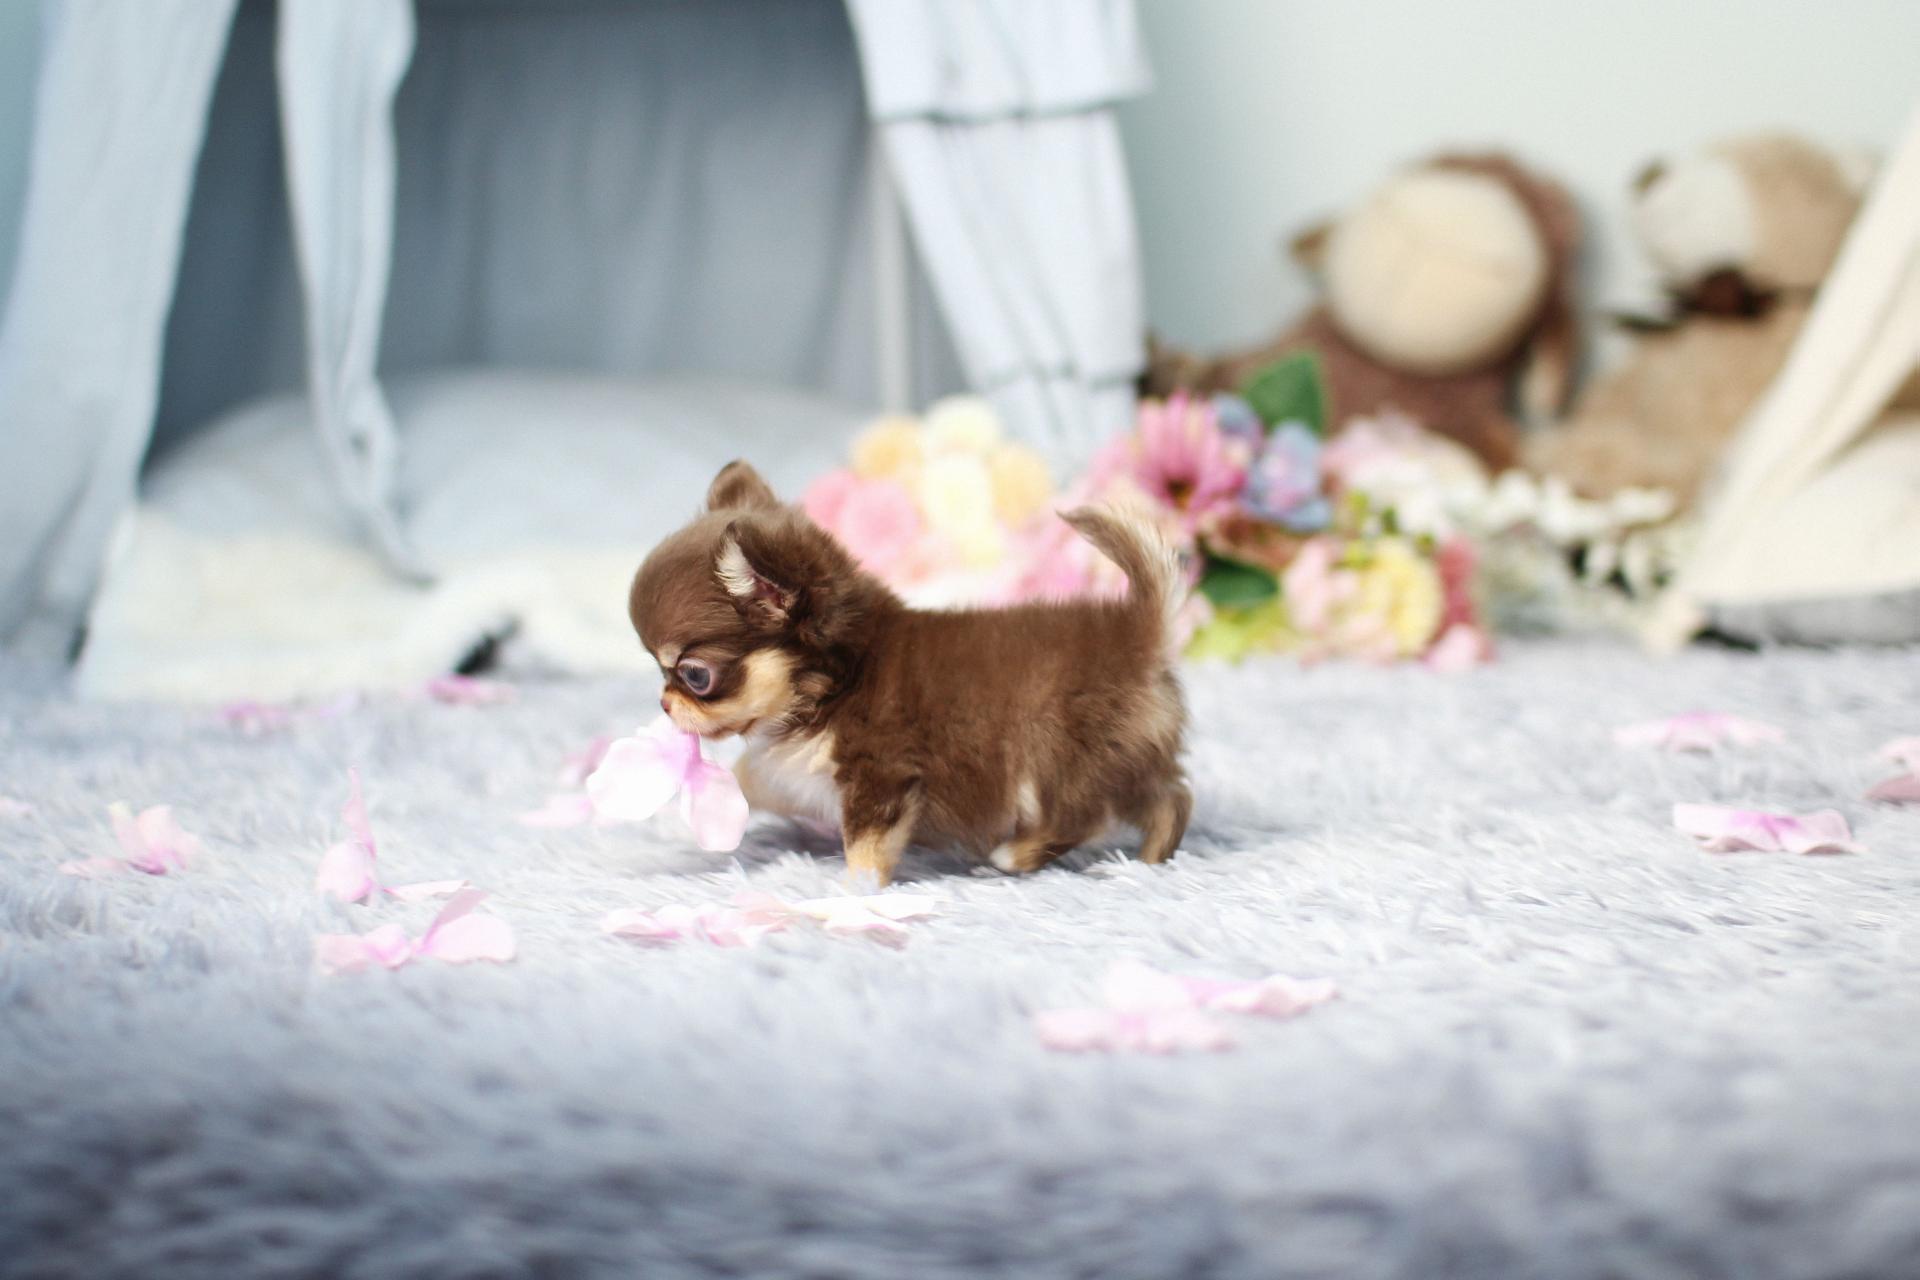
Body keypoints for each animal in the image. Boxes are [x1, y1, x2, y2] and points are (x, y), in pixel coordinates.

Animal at [627, 460, 1191, 885]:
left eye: (695, 676)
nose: (664, 703)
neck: (839, 682)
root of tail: (1137, 628)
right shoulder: (795, 771)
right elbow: (753, 775)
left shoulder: (882, 777)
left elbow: (866, 847)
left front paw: (853, 894)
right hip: (1130, 761)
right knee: (1171, 798)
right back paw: (1152, 861)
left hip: (1057, 759)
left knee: (1088, 816)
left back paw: (1016, 855)